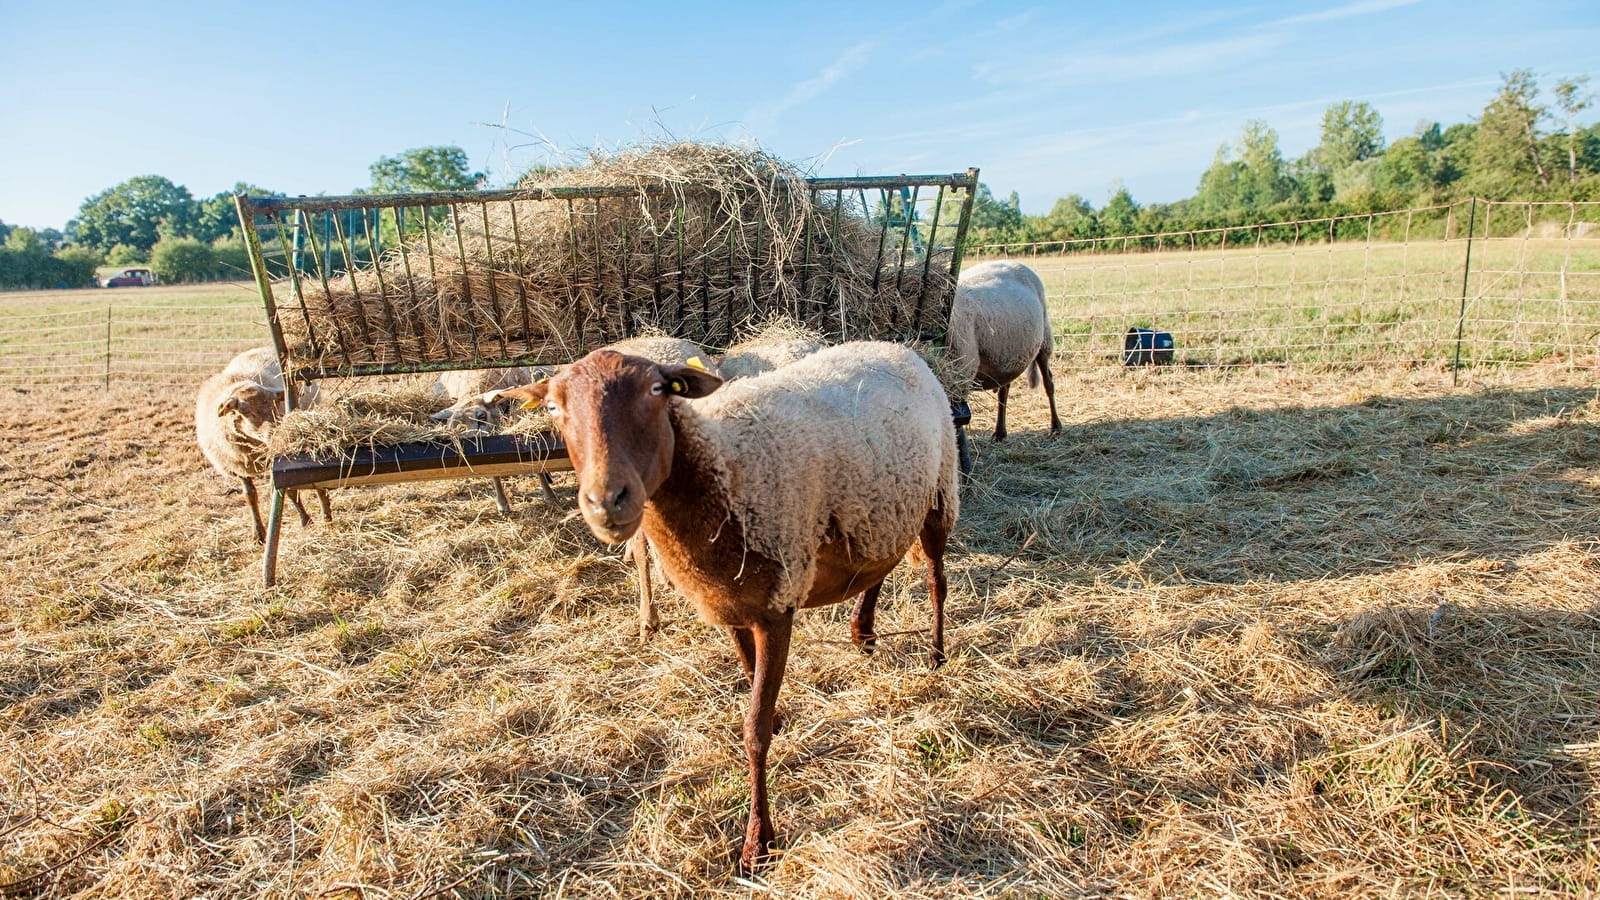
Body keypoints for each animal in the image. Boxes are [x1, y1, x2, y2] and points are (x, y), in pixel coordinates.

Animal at [200, 342, 337, 538]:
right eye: (246, 411)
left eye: (275, 404)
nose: (274, 433)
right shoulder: (238, 467)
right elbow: (250, 496)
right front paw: (258, 534)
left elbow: (289, 491)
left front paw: (305, 520)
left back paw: (326, 516)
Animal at [499, 337, 953, 871]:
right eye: (553, 406)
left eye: (658, 390)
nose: (607, 501)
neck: (721, 467)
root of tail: (897, 347)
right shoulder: (731, 608)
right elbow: (749, 679)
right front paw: (777, 717)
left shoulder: (777, 606)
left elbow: (753, 732)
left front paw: (758, 842)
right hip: (878, 510)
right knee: (878, 570)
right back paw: (862, 633)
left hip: (940, 494)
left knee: (936, 581)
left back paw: (937, 654)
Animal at [947, 259, 1062, 441]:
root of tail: (1013, 261)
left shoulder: (963, 372)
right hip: (1005, 354)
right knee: (1004, 390)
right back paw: (1000, 432)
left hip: (1044, 339)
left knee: (1048, 383)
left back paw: (1056, 426)